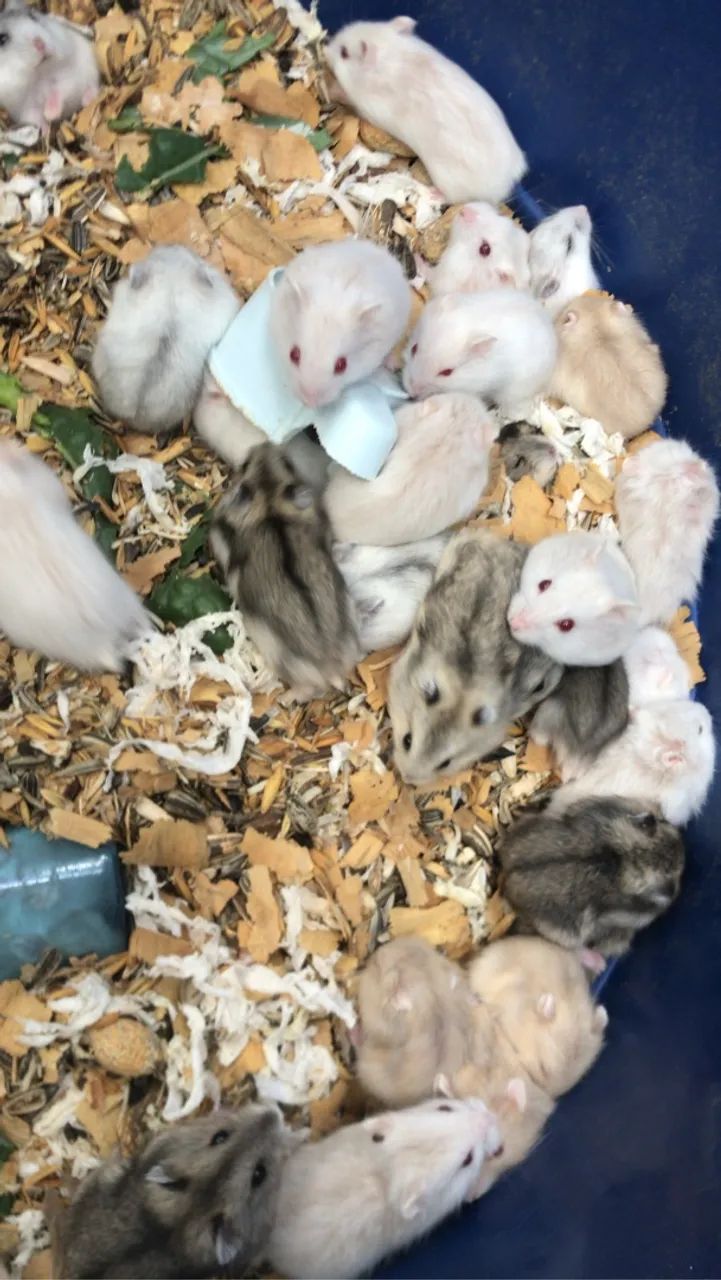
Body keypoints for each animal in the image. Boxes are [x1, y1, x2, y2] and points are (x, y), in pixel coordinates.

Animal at [210, 443, 359, 696]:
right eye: (288, 462)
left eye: (244, 466)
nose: (263, 445)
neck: (270, 504)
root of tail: (330, 664)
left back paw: (286, 697)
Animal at [325, 18, 526, 204]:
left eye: (344, 53)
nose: (325, 47)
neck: (389, 57)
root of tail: (505, 184)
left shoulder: (368, 107)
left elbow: (346, 95)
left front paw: (331, 88)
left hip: (448, 180)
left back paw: (430, 193)